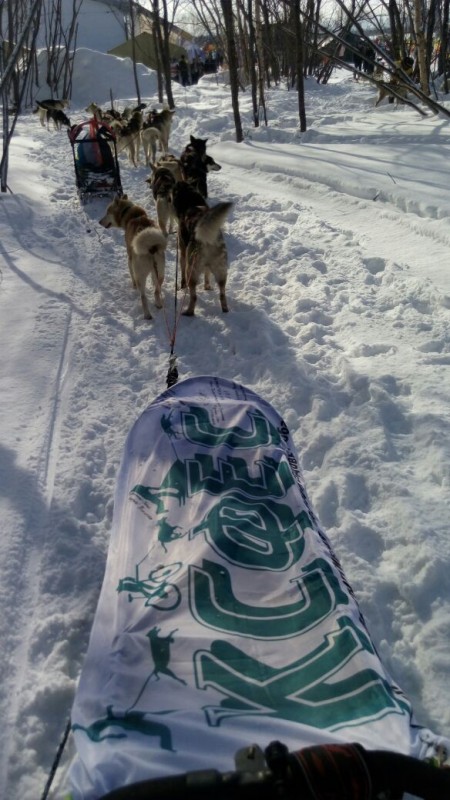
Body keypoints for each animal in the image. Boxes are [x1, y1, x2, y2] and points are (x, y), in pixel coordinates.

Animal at [171, 181, 232, 316]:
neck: (191, 200)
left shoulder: (183, 254)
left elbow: (182, 274)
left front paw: (182, 286)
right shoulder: (207, 267)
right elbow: (207, 274)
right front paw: (207, 286)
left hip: (191, 270)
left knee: (194, 297)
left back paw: (189, 311)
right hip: (221, 271)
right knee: (222, 294)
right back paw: (225, 309)